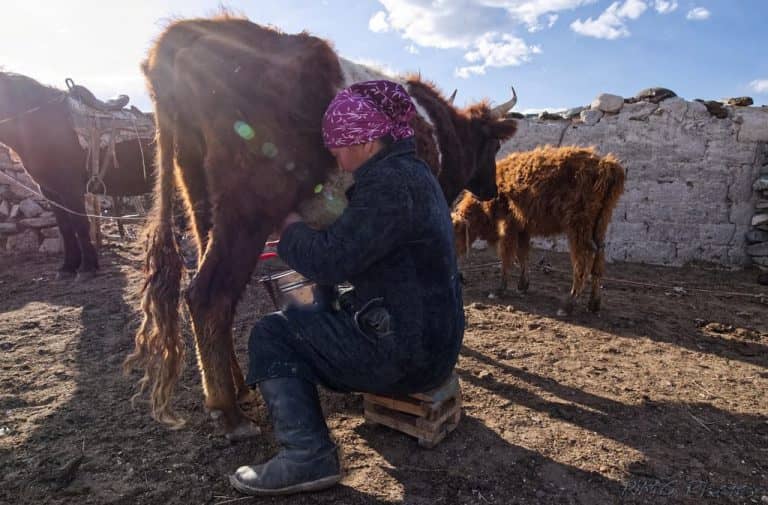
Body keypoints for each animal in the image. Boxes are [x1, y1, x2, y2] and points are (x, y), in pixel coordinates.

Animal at [126, 13, 520, 436]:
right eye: (494, 146)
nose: (492, 188)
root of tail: (188, 31)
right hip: (245, 212)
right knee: (208, 296)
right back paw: (227, 411)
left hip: (201, 206)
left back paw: (237, 388)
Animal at [456, 144, 624, 314]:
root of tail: (607, 165)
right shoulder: (522, 227)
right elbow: (522, 255)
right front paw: (522, 285)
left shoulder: (508, 226)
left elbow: (507, 256)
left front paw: (499, 290)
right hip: (600, 225)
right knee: (599, 259)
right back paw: (594, 304)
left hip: (578, 227)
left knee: (584, 259)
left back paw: (568, 304)